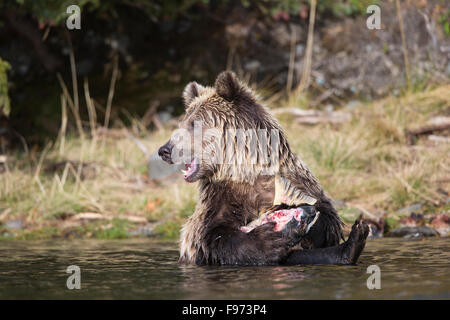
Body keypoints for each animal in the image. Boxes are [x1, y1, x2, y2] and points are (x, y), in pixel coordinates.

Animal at [159, 71, 370, 266]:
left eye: (194, 122)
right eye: (182, 122)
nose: (165, 150)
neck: (247, 172)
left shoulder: (298, 179)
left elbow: (327, 221)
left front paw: (302, 214)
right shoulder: (218, 198)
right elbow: (209, 236)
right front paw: (268, 240)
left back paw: (354, 240)